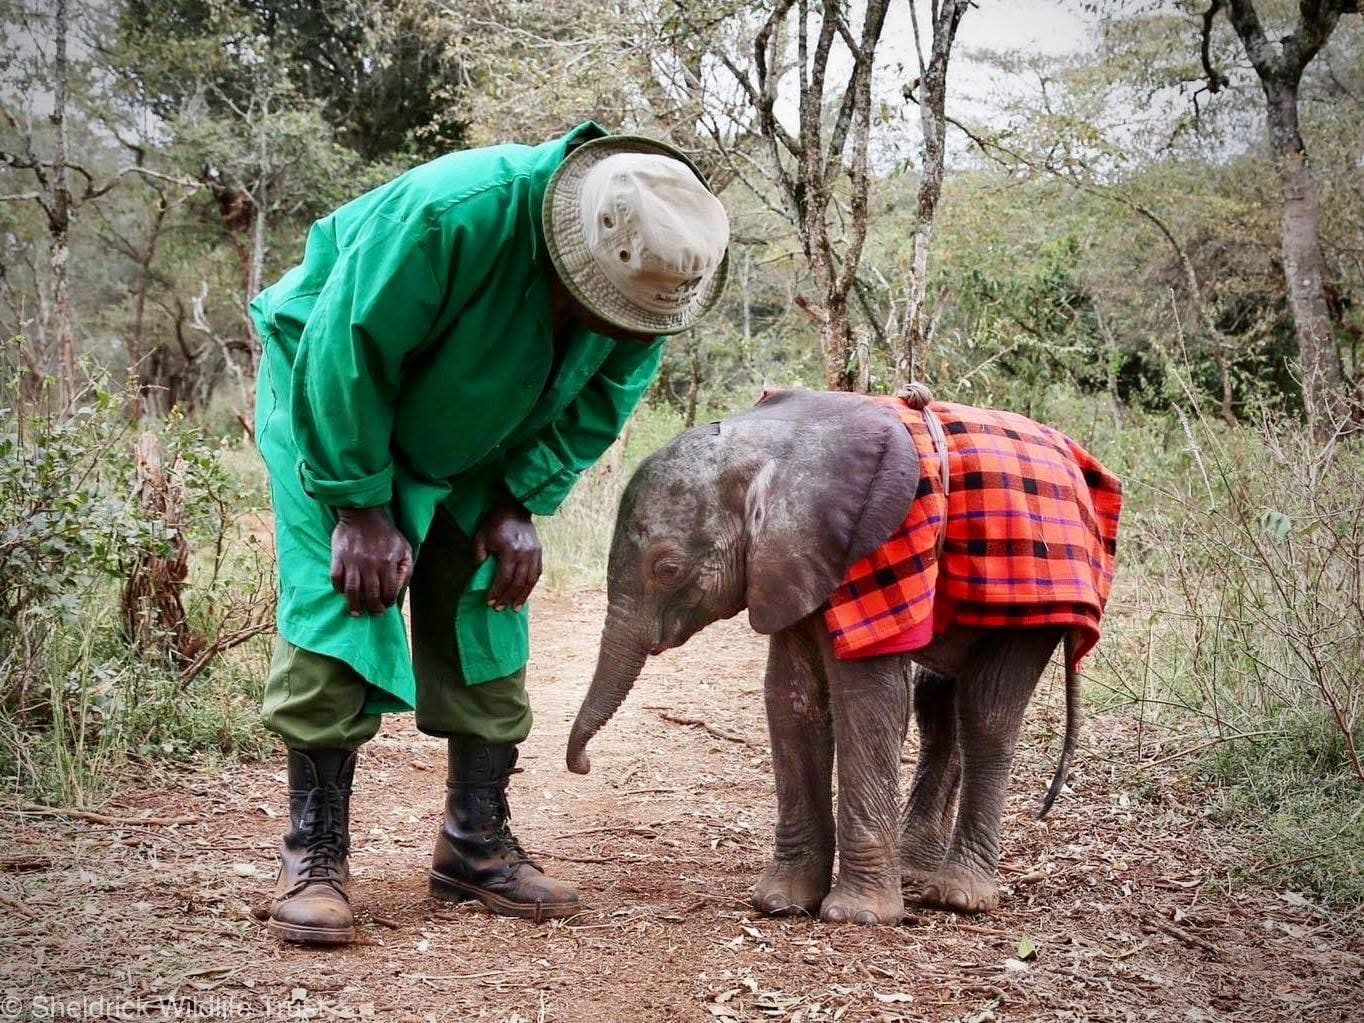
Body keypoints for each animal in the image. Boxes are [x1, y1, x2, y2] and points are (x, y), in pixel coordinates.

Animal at [565, 389, 1099, 926]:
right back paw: (914, 874)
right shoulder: (788, 562)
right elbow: (791, 698)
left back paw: (958, 898)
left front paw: (856, 917)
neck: (768, 448)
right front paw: (780, 903)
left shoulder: (870, 555)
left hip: (1036, 593)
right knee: (938, 705)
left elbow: (868, 700)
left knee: (986, 713)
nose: (583, 765)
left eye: (668, 569)